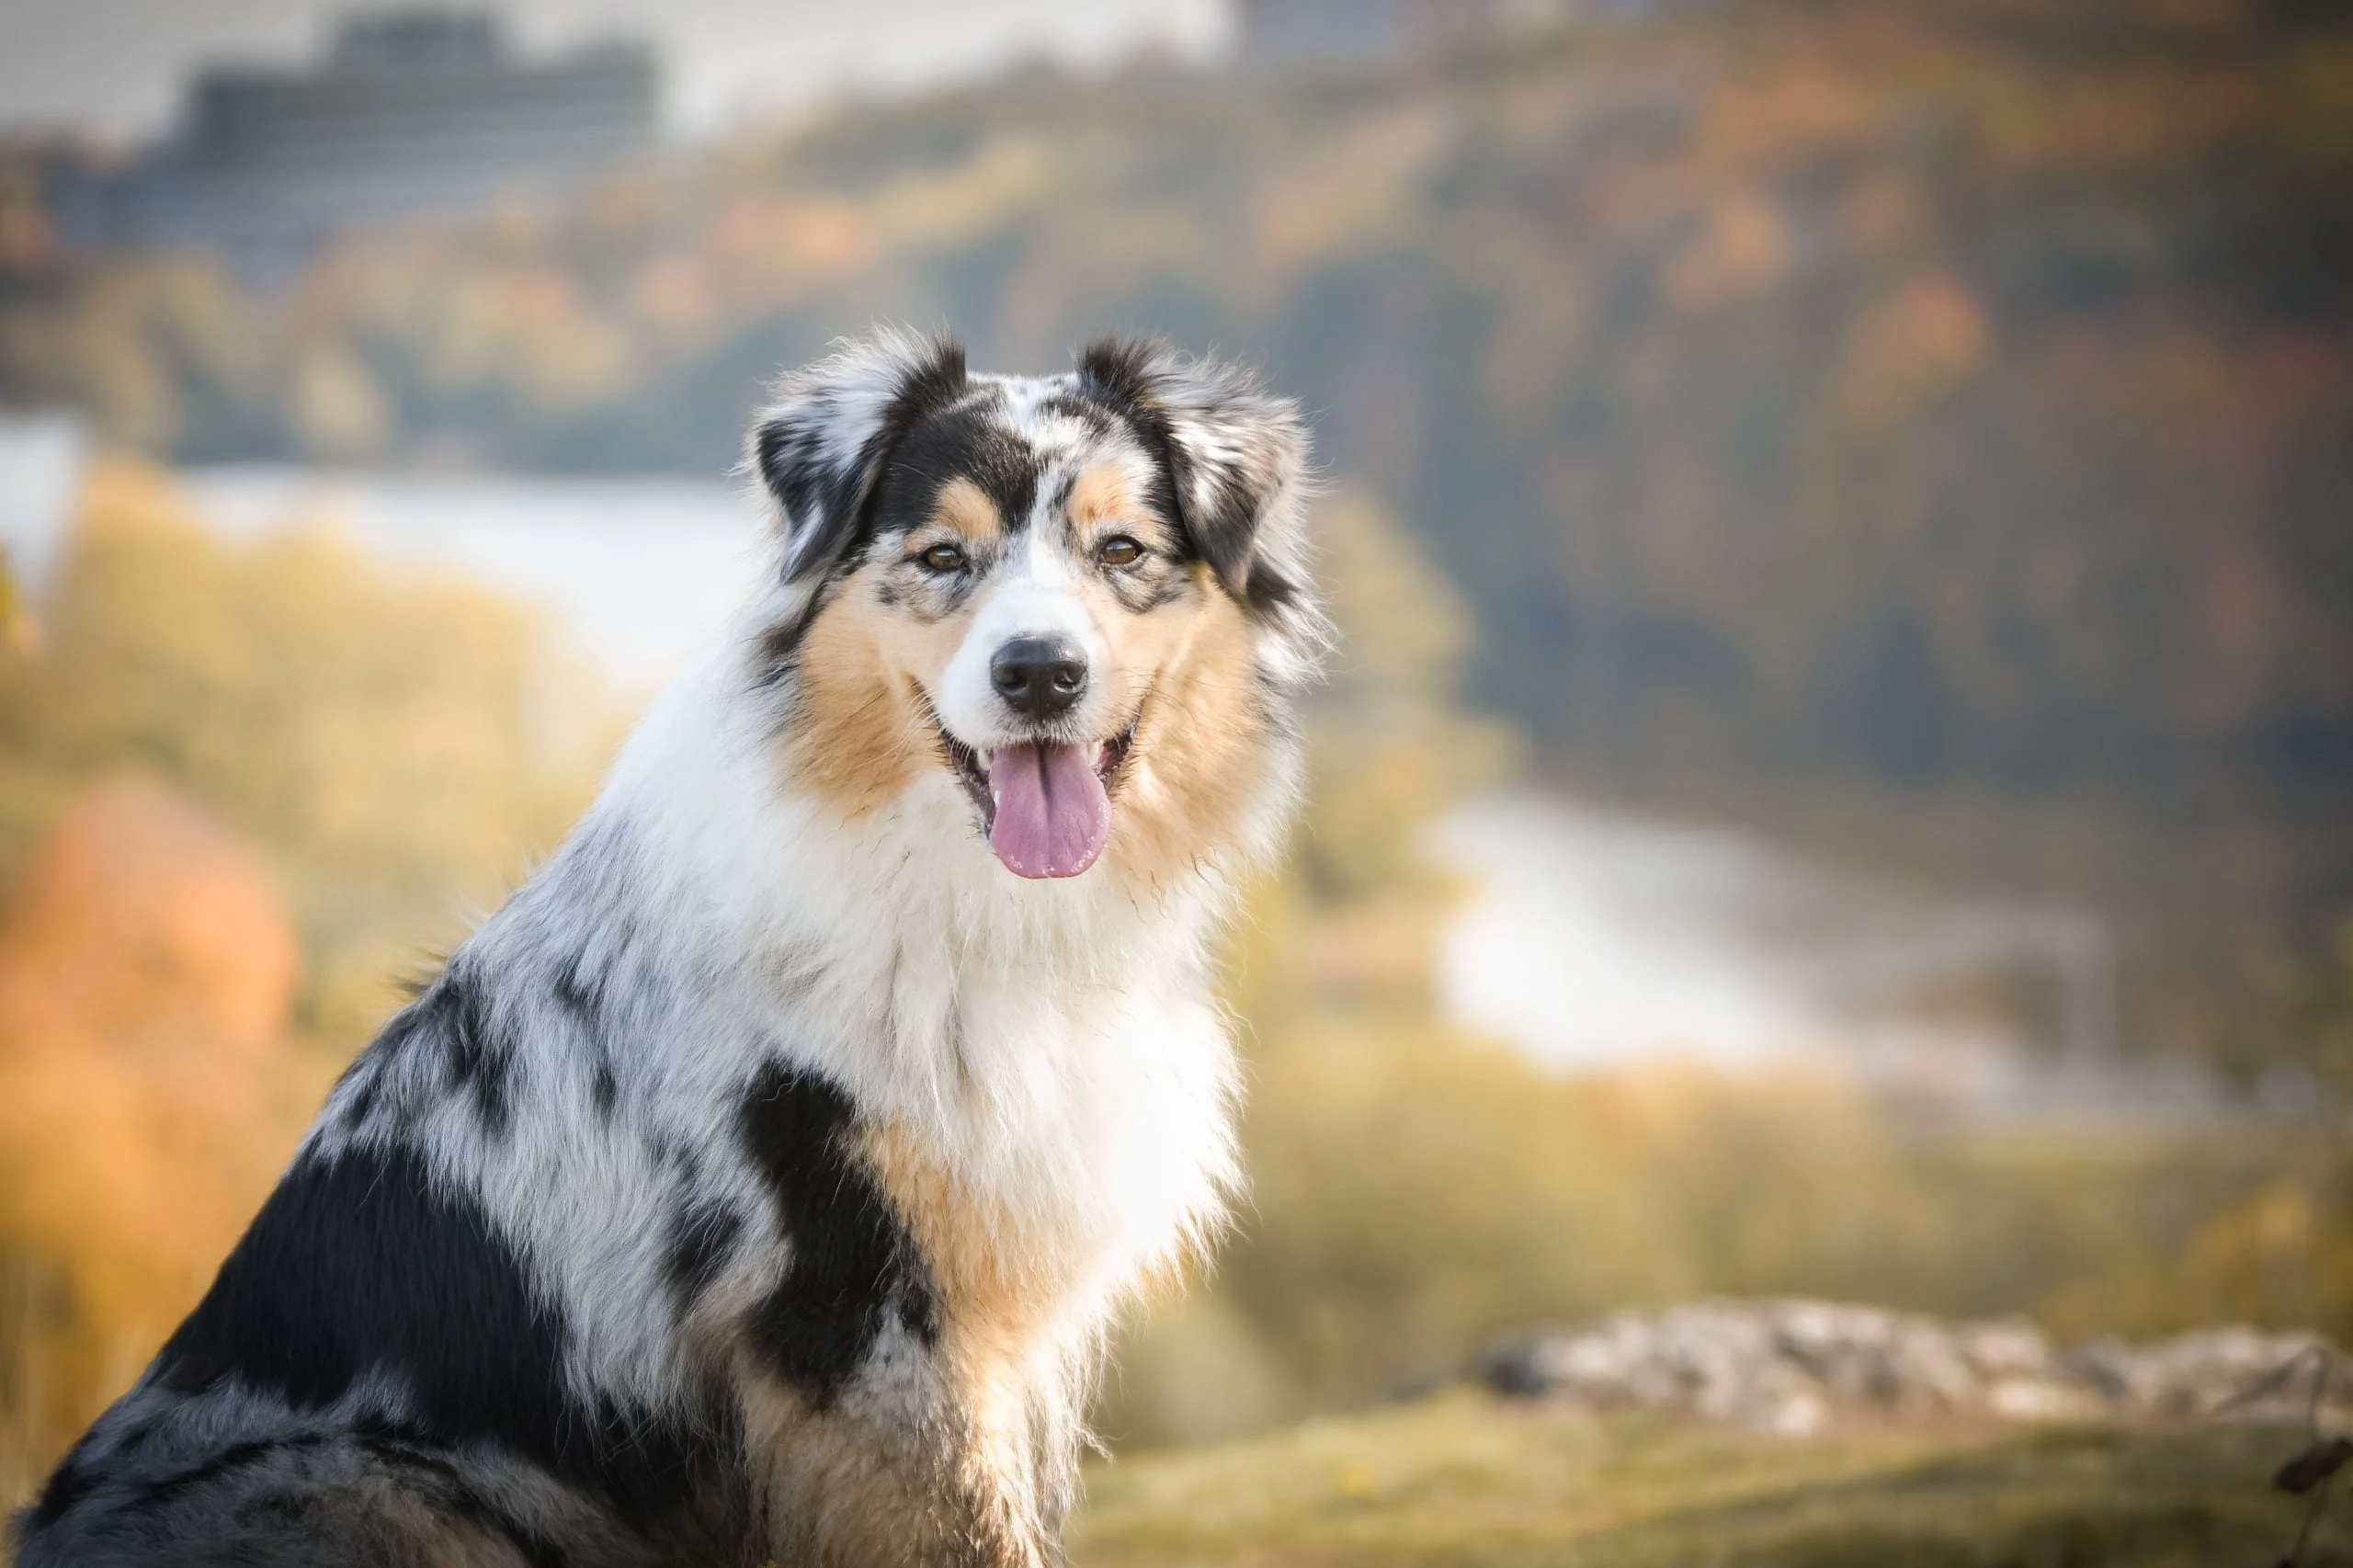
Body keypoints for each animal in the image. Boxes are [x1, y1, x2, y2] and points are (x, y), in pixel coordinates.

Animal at [9, 322, 1317, 1553]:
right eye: (942, 557)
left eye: (1121, 552)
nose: (1038, 673)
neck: (968, 902)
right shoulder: (857, 1323)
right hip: (379, 1486)